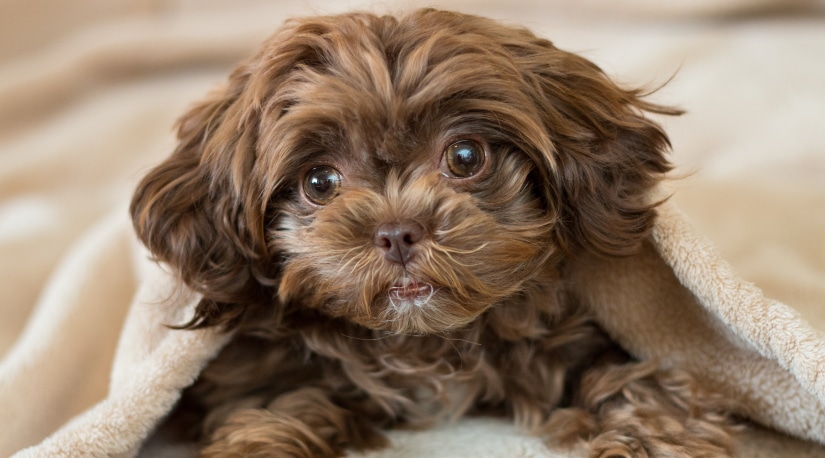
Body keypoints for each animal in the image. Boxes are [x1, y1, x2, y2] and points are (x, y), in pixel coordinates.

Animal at [130, 8, 740, 458]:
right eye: (319, 181)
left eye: (465, 156)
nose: (397, 232)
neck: (423, 344)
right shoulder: (257, 373)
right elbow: (274, 410)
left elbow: (634, 380)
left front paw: (655, 437)